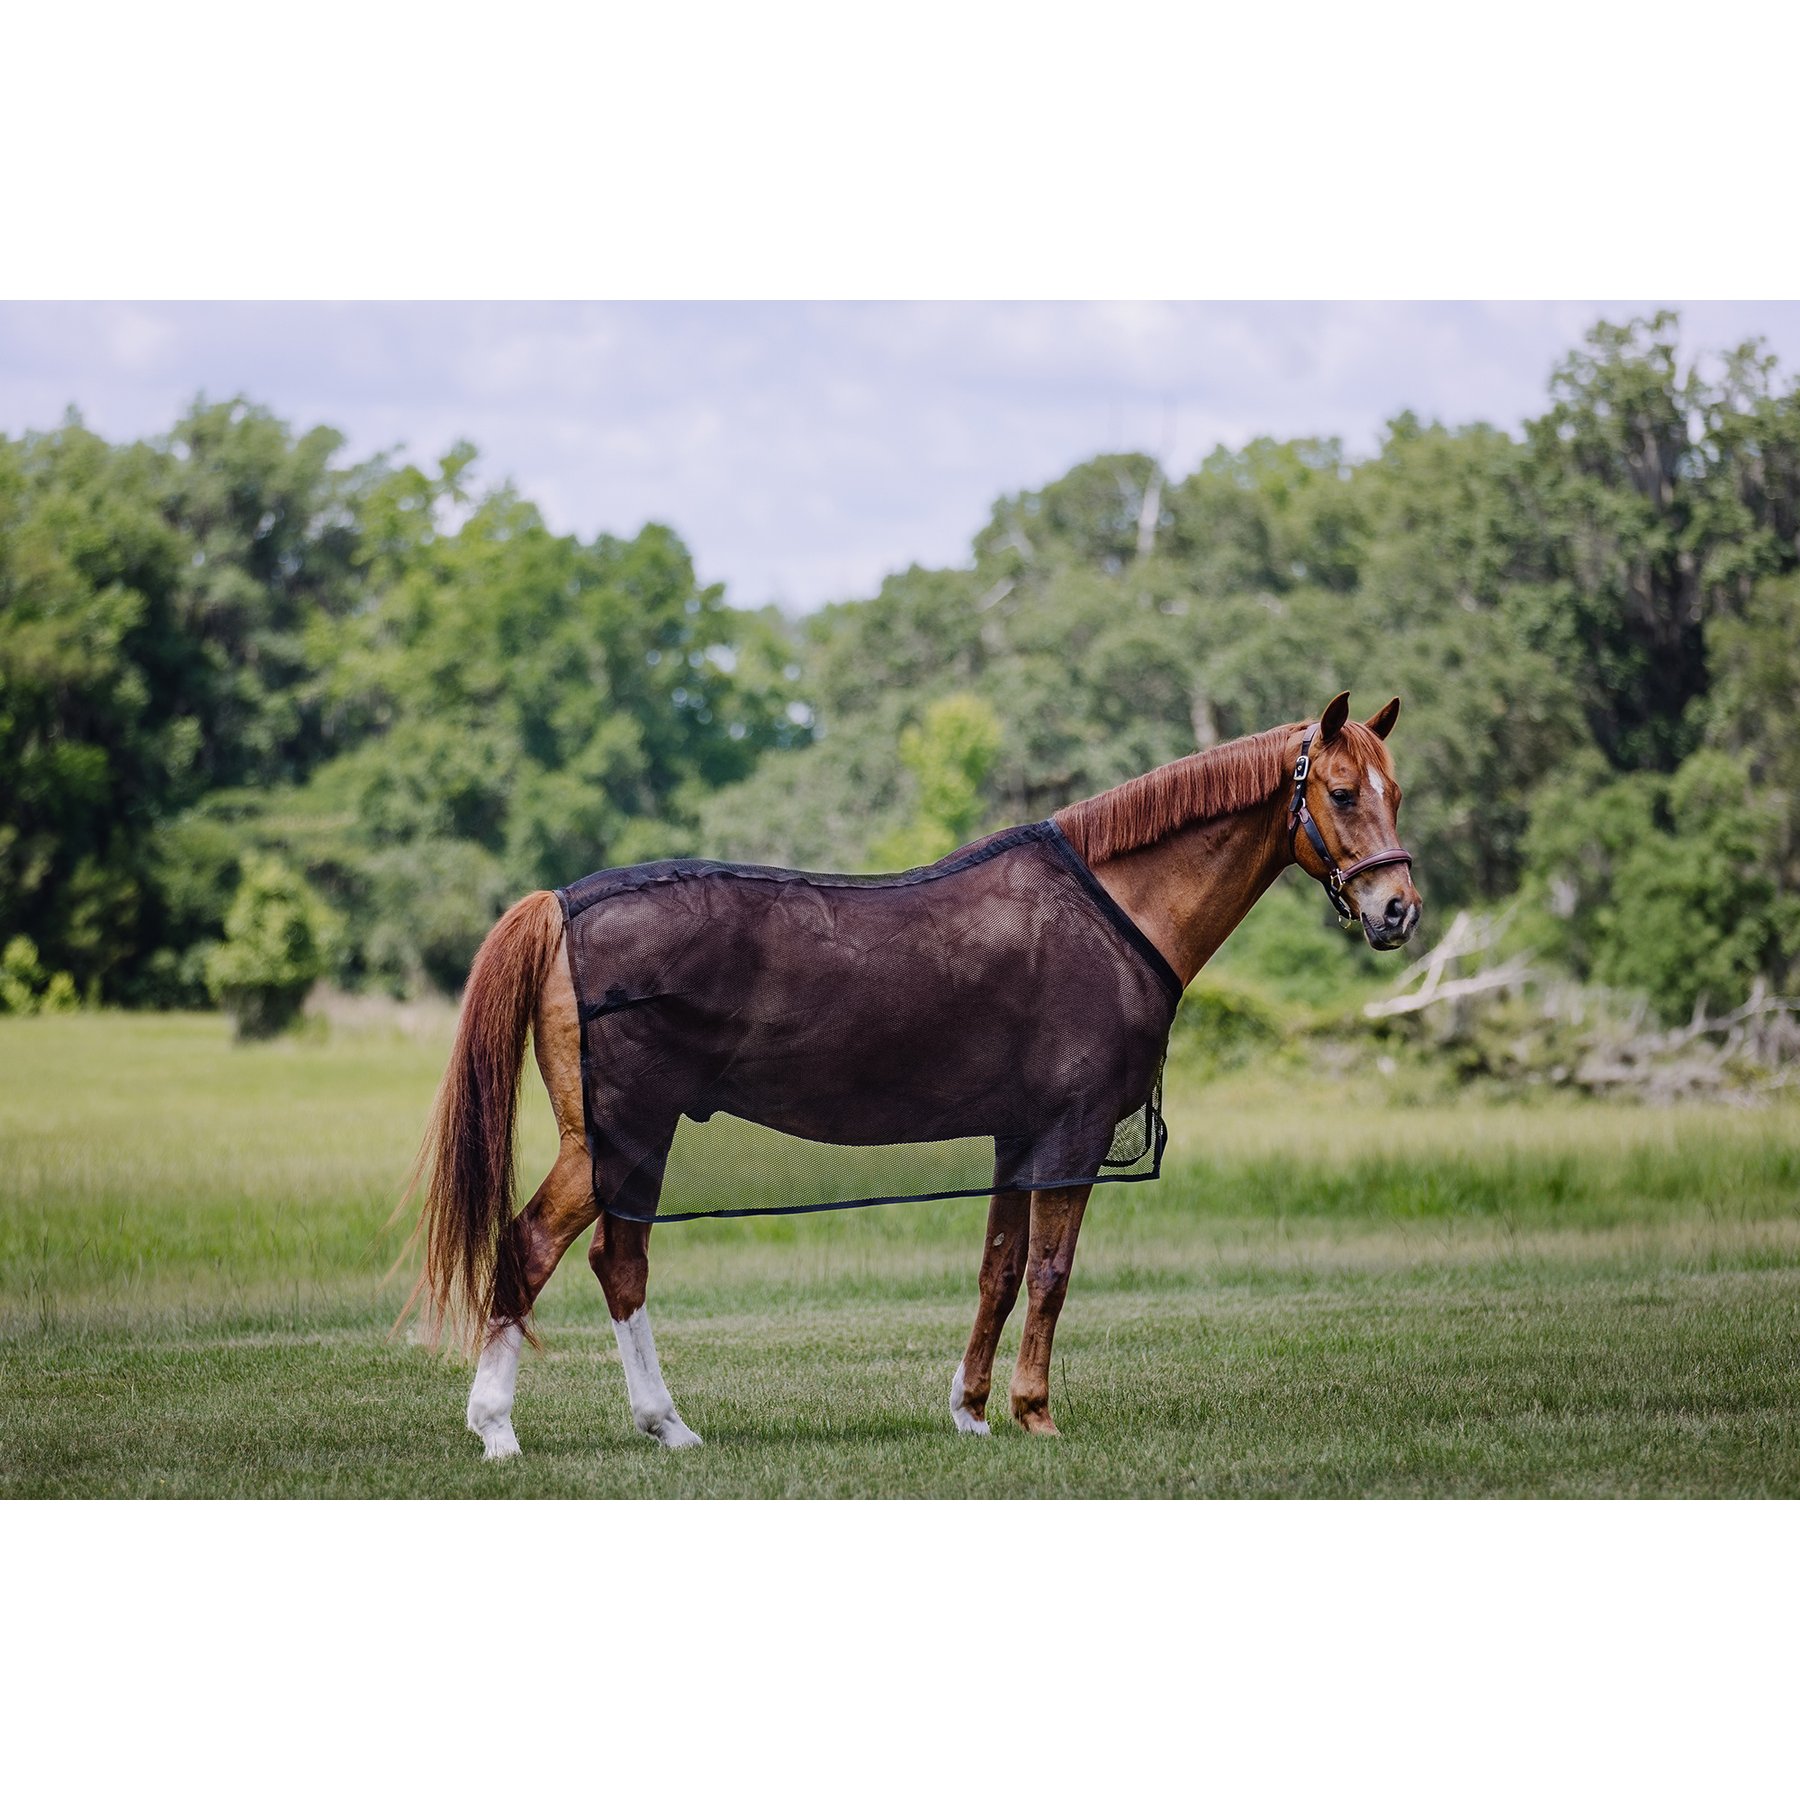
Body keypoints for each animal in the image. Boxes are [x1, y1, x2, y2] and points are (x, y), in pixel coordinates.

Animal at [406, 689, 1420, 1458]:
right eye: (1340, 792)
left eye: (1397, 791)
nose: (1397, 909)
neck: (1113, 909)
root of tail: (564, 903)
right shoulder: (1076, 1130)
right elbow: (1051, 1270)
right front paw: (1035, 1414)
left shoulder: (1019, 1134)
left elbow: (999, 1269)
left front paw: (971, 1412)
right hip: (616, 1136)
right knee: (534, 1246)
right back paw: (498, 1430)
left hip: (632, 1143)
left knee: (617, 1264)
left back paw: (668, 1426)